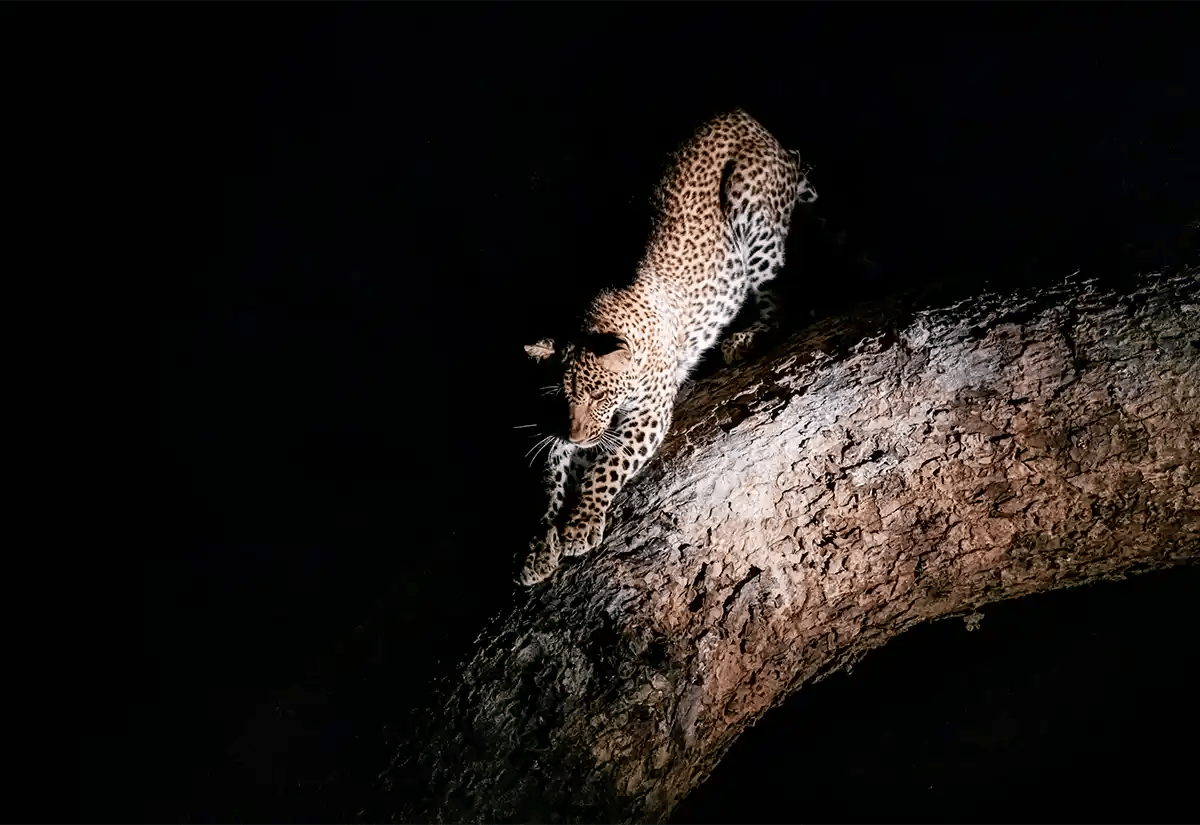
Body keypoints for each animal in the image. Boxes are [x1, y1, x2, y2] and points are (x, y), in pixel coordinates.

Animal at [518, 109, 818, 586]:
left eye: (599, 396)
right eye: (563, 398)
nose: (578, 435)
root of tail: (746, 118)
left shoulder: (647, 415)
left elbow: (605, 468)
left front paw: (580, 525)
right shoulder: (564, 431)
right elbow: (548, 486)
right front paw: (537, 550)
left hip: (750, 208)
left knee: (783, 295)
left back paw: (746, 339)